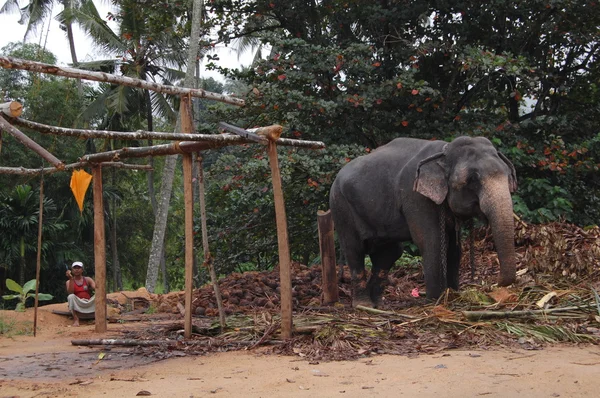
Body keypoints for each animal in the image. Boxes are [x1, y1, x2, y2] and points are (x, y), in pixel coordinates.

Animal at [328, 135, 516, 306]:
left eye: (508, 176)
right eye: (472, 180)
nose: (496, 283)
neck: (444, 152)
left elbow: (454, 247)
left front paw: (453, 295)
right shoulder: (415, 197)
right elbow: (431, 241)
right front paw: (435, 301)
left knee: (390, 252)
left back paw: (378, 305)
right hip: (340, 205)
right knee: (355, 249)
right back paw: (364, 305)